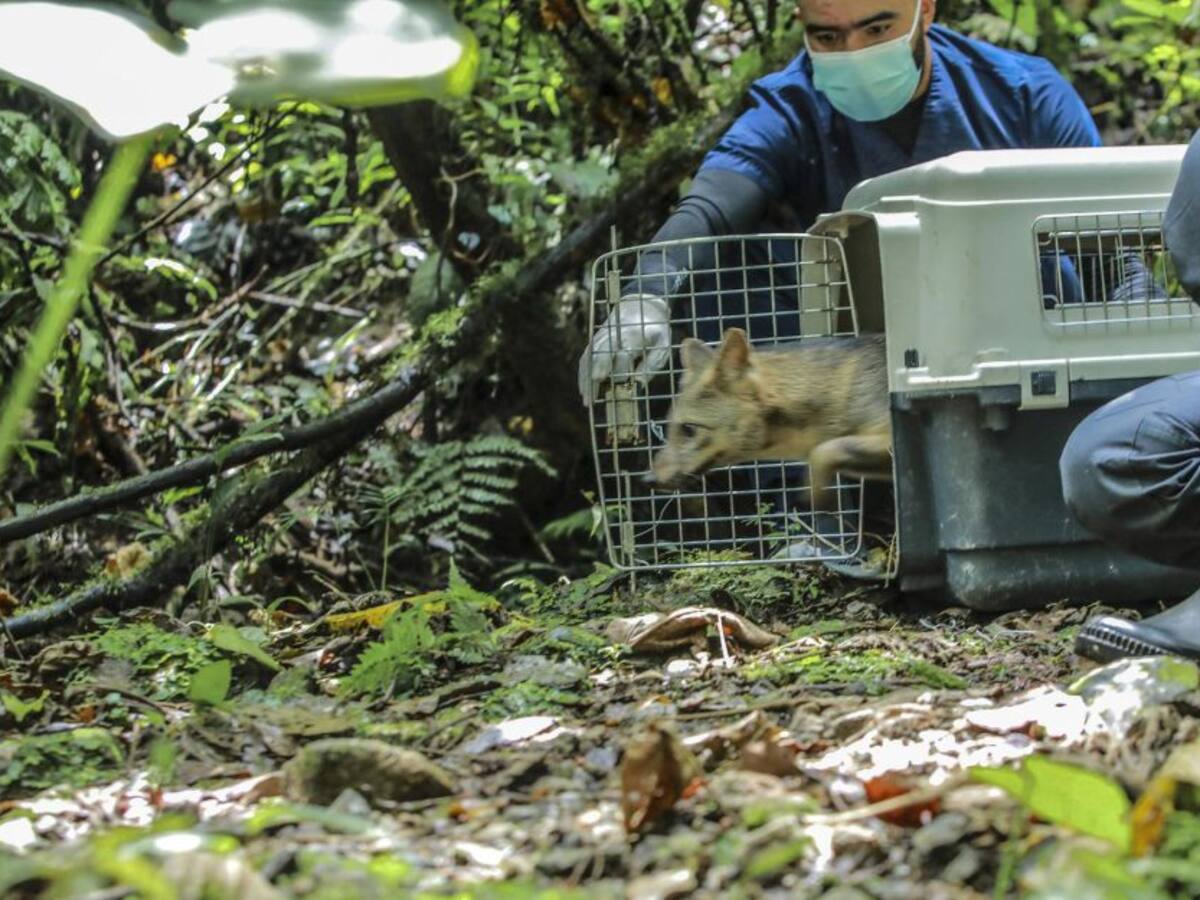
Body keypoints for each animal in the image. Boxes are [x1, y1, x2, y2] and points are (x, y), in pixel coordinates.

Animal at [649, 328, 892, 504]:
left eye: (688, 429)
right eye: (668, 429)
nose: (646, 480)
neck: (847, 388)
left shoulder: (888, 440)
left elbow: (823, 451)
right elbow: (824, 451)